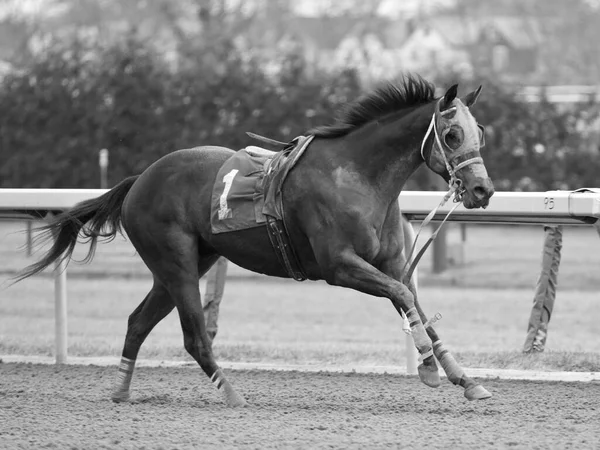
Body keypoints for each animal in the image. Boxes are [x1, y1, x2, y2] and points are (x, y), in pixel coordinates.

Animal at [16, 74, 494, 408]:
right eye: (452, 135)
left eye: (481, 133)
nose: (482, 190)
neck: (358, 175)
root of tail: (138, 180)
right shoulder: (340, 266)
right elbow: (404, 298)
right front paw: (428, 366)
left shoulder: (392, 262)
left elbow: (415, 305)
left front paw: (465, 379)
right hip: (176, 263)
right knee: (194, 336)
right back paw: (231, 395)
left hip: (186, 264)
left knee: (137, 322)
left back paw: (120, 391)